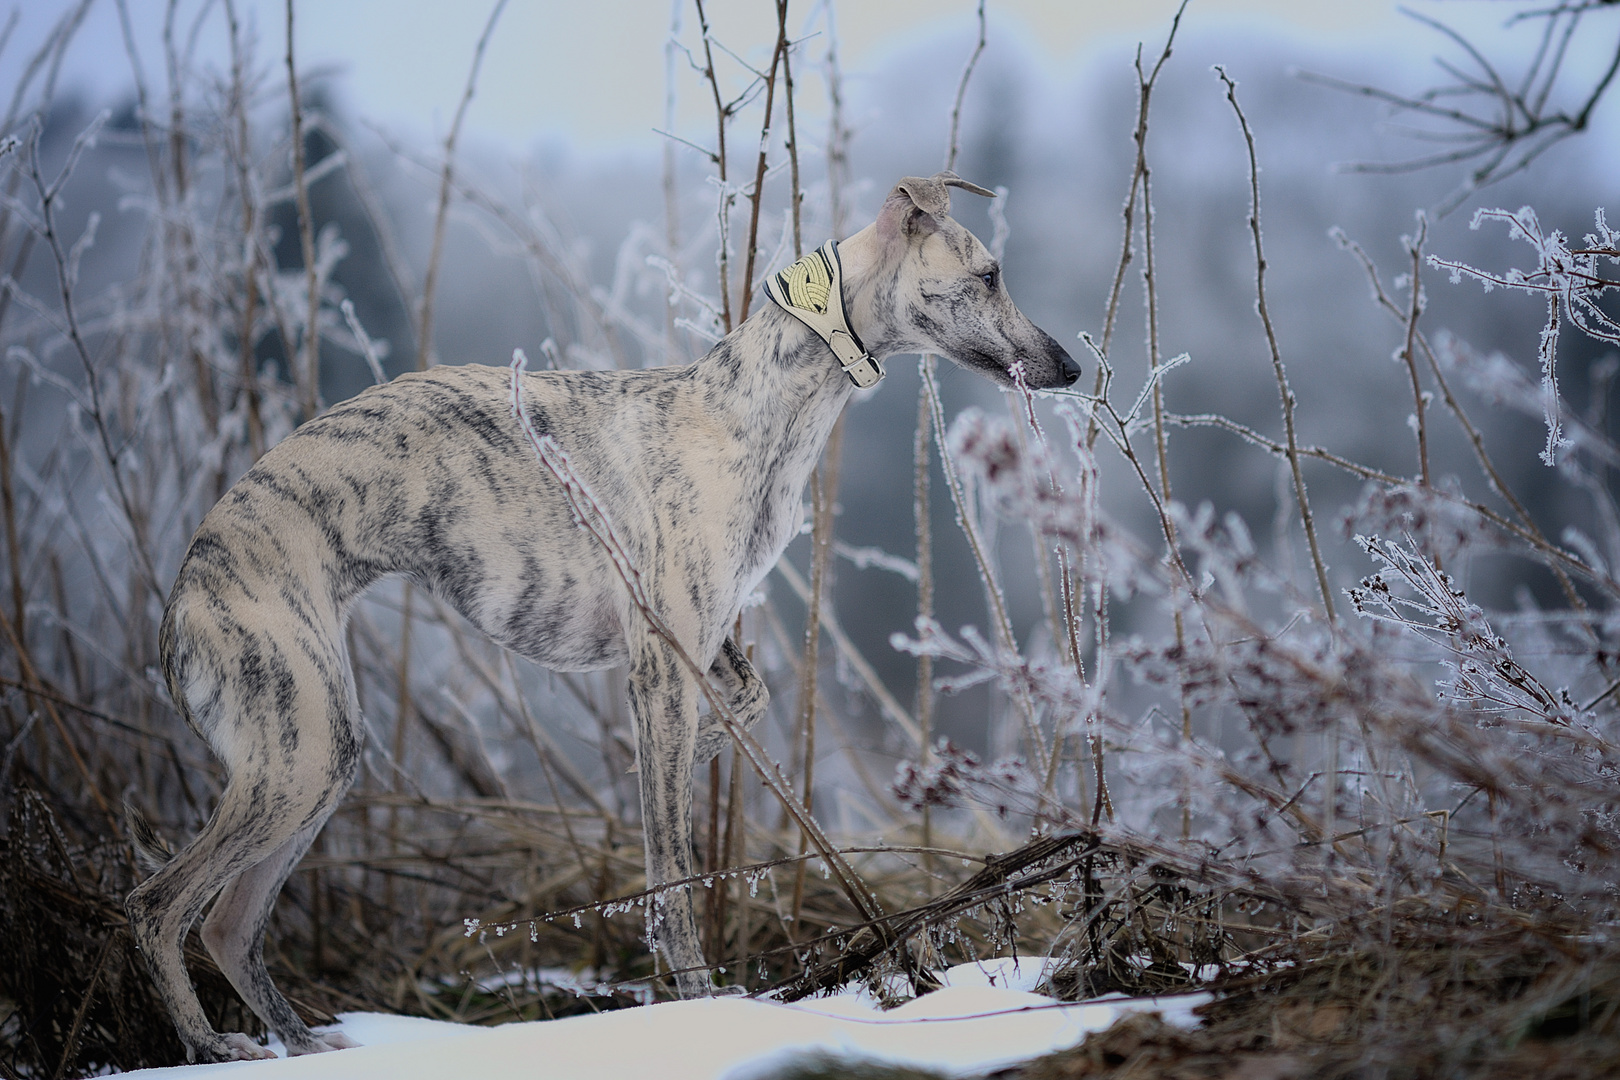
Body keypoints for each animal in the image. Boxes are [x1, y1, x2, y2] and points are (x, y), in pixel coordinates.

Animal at [123, 173, 1075, 1062]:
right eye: (990, 274)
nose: (1069, 368)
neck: (749, 406)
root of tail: (180, 597)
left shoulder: (702, 652)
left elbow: (741, 710)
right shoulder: (661, 668)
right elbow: (672, 869)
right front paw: (701, 1003)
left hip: (314, 755)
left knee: (228, 925)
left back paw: (310, 1047)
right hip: (300, 744)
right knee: (156, 905)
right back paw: (206, 1043)